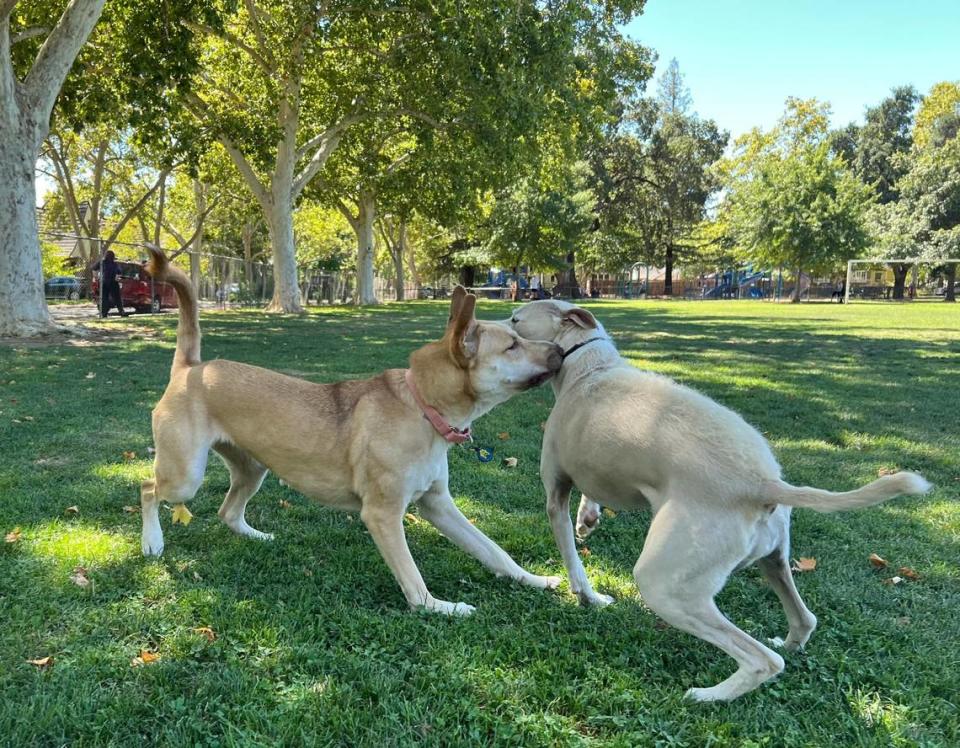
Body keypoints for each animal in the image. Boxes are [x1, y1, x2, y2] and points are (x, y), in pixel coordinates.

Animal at [510, 298, 928, 700]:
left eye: (515, 320)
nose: (504, 322)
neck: (589, 366)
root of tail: (763, 483)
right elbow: (592, 497)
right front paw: (589, 518)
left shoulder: (555, 492)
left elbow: (572, 557)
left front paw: (587, 596)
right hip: (774, 560)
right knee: (804, 620)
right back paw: (788, 645)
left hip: (666, 584)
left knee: (763, 660)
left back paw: (708, 695)